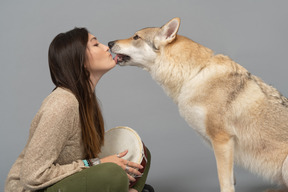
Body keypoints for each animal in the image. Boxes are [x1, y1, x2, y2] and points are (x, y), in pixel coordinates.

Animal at [108, 17, 288, 191]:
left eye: (136, 37)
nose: (109, 43)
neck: (195, 73)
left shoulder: (221, 140)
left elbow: (224, 182)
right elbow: (231, 178)